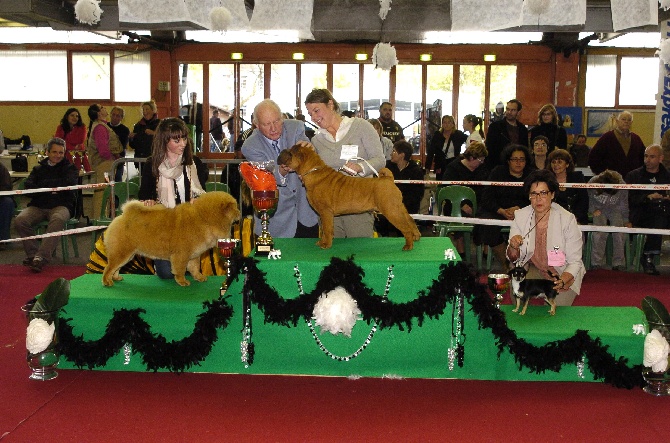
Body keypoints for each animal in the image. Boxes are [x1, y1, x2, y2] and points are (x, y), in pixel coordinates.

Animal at [102, 192, 242, 288]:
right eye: (235, 207)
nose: (240, 213)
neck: (203, 218)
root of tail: (124, 216)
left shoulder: (194, 255)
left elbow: (195, 267)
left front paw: (199, 278)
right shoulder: (181, 255)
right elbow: (180, 269)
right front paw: (183, 282)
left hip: (128, 254)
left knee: (116, 268)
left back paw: (117, 278)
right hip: (122, 252)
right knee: (109, 268)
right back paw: (107, 281)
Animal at [278, 145, 420, 250]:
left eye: (290, 153)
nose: (281, 152)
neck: (313, 171)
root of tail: (388, 179)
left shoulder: (326, 212)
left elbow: (327, 229)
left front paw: (326, 244)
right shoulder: (322, 214)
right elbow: (324, 230)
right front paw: (322, 242)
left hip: (391, 210)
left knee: (405, 228)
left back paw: (408, 245)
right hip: (399, 208)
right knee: (410, 221)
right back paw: (416, 237)